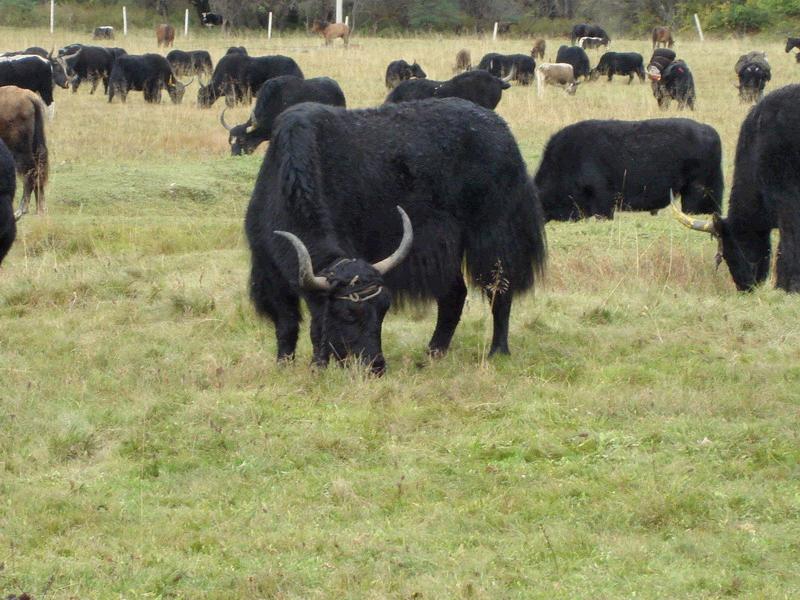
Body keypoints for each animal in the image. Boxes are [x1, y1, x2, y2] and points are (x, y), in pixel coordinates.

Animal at [0, 86, 49, 218]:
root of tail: (28, 96)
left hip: (19, 149)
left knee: (30, 171)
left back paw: (20, 211)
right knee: (39, 170)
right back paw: (40, 209)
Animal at [247, 98, 548, 372]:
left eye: (383, 310)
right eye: (347, 315)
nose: (376, 366)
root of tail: (503, 131)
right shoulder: (268, 270)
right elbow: (287, 324)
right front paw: (285, 365)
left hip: (494, 236)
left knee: (499, 290)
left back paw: (497, 352)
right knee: (454, 295)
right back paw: (432, 353)